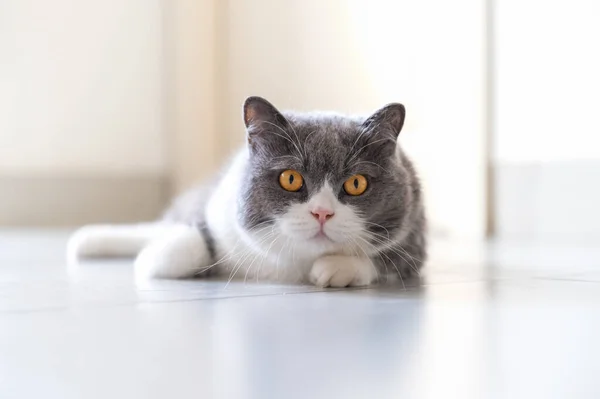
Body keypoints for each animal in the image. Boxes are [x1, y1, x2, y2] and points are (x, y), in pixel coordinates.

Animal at [69, 96, 426, 288]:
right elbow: (188, 242)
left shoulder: (416, 231)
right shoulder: (216, 208)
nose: (322, 212)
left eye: (356, 184)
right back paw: (86, 240)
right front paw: (153, 258)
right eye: (291, 179)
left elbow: (390, 259)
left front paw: (336, 267)